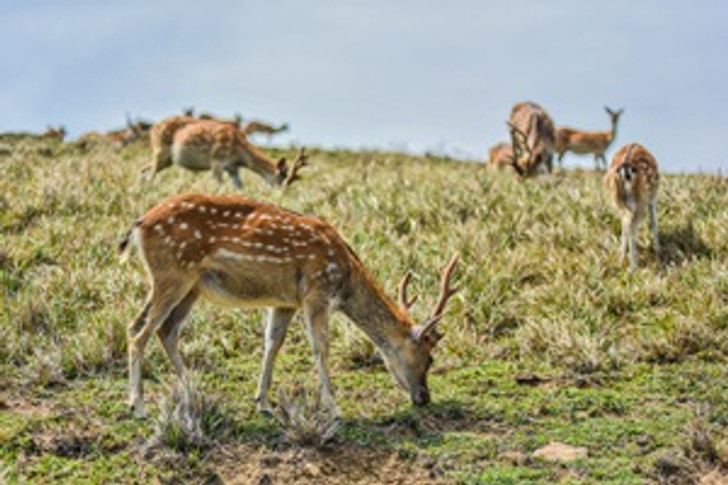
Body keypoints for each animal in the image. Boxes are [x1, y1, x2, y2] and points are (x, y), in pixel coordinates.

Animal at [119, 192, 460, 416]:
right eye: (430, 358)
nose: (424, 397)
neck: (345, 276)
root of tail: (138, 225)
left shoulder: (285, 302)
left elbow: (272, 343)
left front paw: (263, 402)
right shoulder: (315, 291)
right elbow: (321, 346)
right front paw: (334, 408)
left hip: (190, 286)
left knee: (165, 330)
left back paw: (193, 390)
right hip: (172, 273)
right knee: (138, 330)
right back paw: (138, 406)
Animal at [604, 143, 660, 272]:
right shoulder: (651, 199)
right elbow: (653, 223)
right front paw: (658, 250)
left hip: (620, 201)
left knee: (626, 225)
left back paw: (621, 260)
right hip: (639, 203)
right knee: (632, 227)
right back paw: (633, 267)